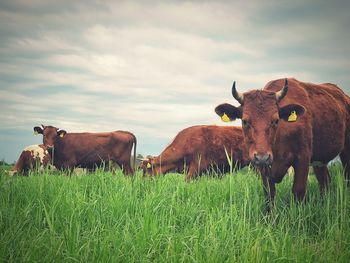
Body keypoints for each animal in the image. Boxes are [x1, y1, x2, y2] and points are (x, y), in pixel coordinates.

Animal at [215, 77, 350, 203]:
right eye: (245, 121)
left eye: (276, 120)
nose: (262, 157)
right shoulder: (263, 167)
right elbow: (269, 196)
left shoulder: (302, 158)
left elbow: (298, 192)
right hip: (319, 161)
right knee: (325, 182)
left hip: (345, 153)